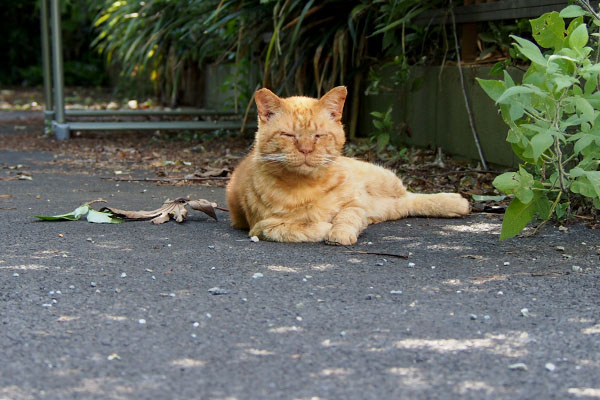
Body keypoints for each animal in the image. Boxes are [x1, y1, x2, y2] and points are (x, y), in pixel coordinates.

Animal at [225, 86, 468, 245]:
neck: (307, 186)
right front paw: (324, 227)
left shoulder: (354, 205)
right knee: (407, 204)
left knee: (411, 196)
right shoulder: (263, 227)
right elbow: (301, 228)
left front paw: (339, 233)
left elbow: (345, 218)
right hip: (388, 206)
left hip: (384, 181)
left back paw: (455, 202)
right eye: (288, 135)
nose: (306, 149)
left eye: (319, 136)